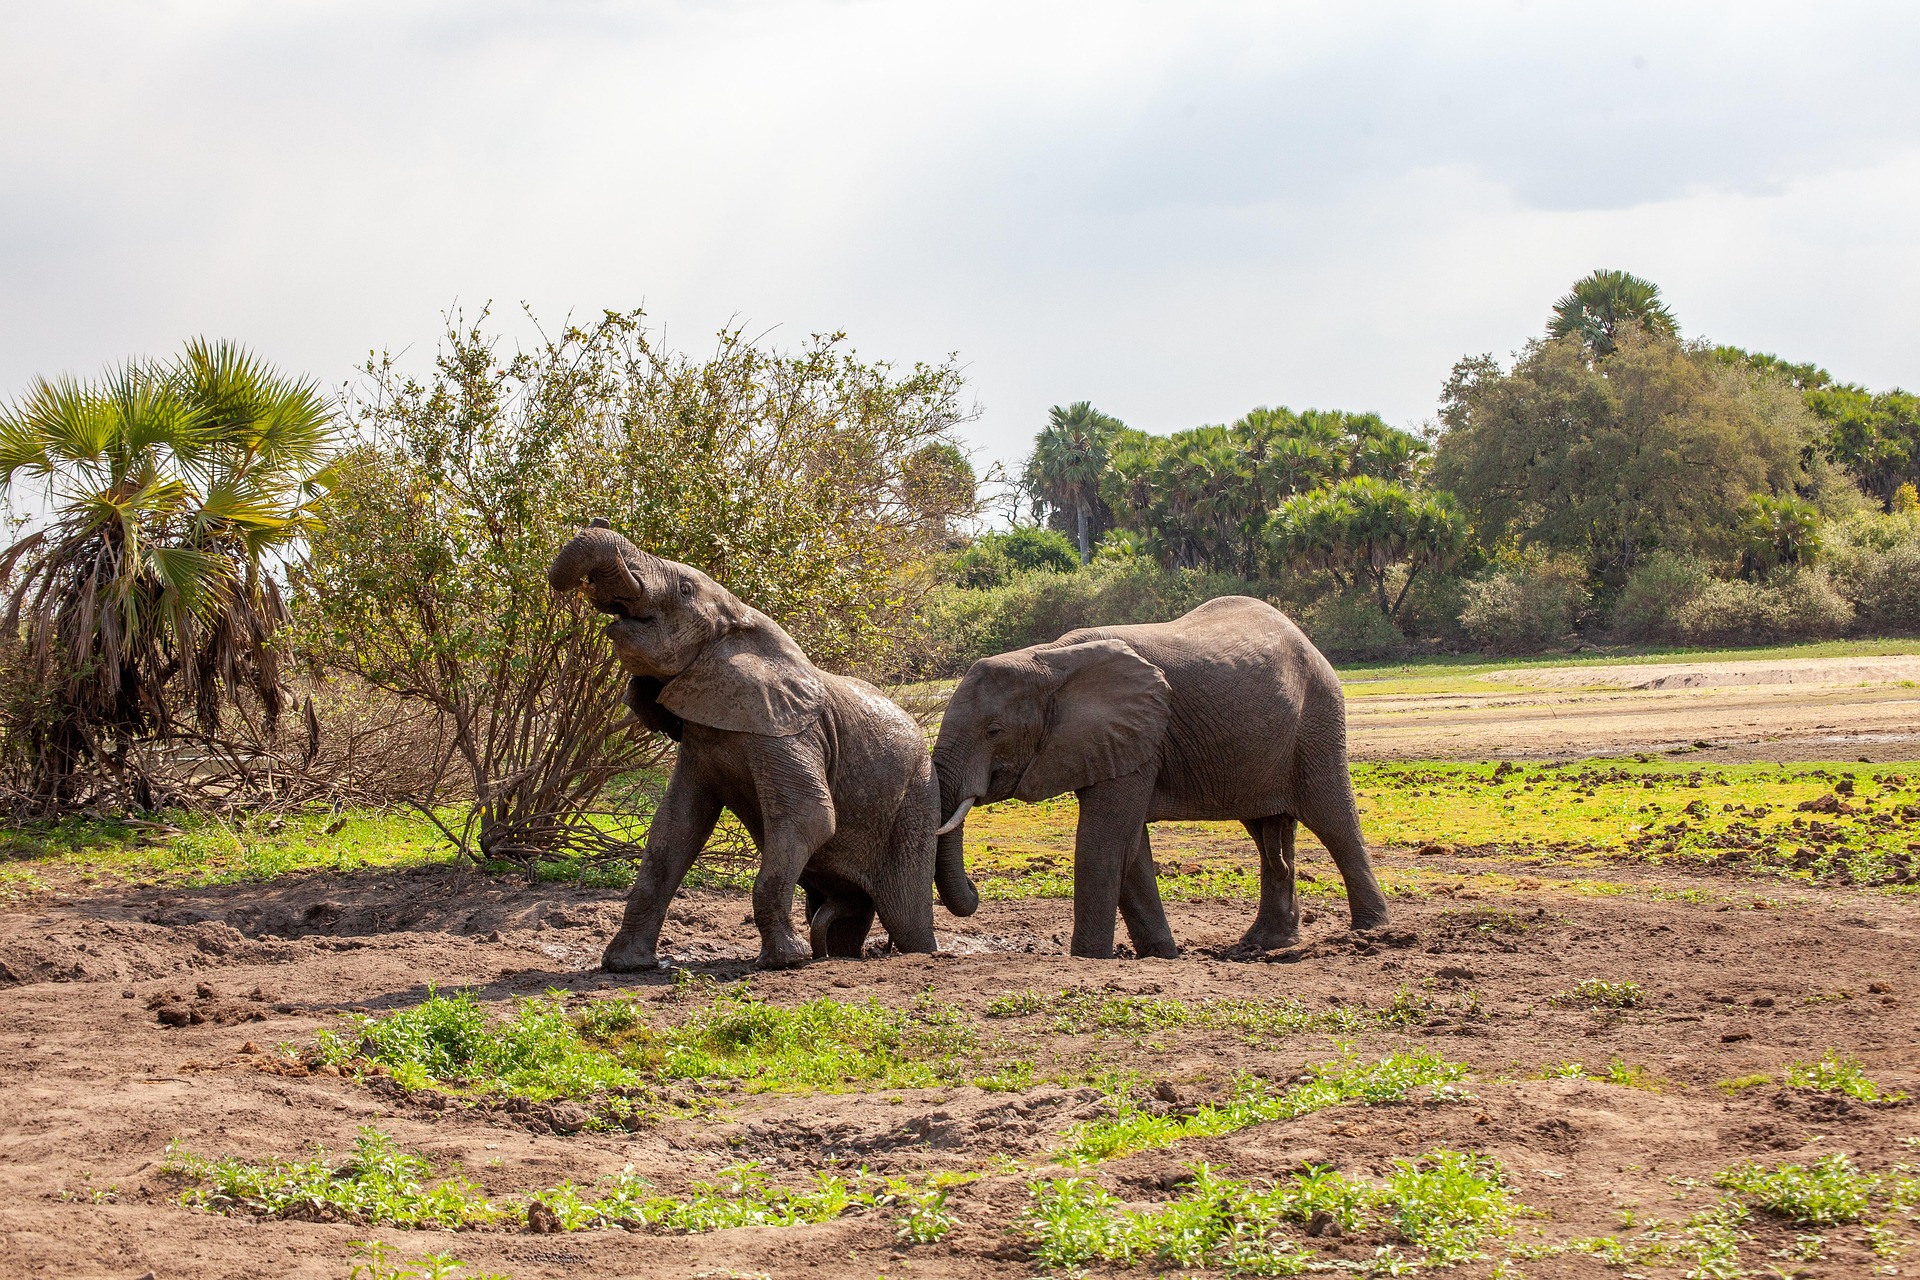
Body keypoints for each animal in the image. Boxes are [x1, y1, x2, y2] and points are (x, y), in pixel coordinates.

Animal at [547, 521, 977, 971]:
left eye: (684, 588)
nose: (598, 525)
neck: (741, 617)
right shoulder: (702, 737)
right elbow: (675, 828)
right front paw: (626, 966)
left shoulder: (788, 732)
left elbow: (809, 816)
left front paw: (786, 961)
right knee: (849, 913)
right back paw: (837, 954)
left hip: (914, 807)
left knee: (907, 917)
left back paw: (914, 952)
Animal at [929, 595, 1388, 959]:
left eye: (993, 732)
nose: (974, 888)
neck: (1049, 659)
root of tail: (1305, 639)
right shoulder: (1113, 743)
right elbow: (1131, 849)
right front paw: (1162, 955)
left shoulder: (1137, 736)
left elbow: (1105, 841)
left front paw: (1088, 958)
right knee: (1267, 832)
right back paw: (1265, 944)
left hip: (1318, 718)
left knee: (1333, 819)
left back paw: (1370, 931)